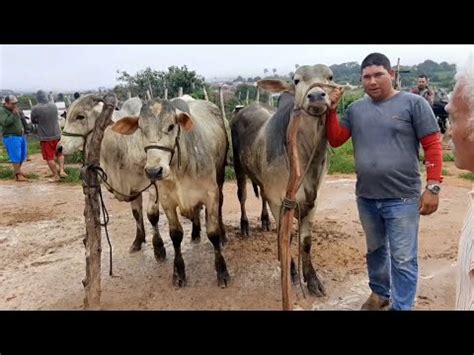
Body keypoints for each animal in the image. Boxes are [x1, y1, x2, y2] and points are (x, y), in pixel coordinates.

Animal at [59, 96, 164, 254]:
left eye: (80, 116)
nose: (59, 147)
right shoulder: (133, 188)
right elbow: (136, 214)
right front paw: (137, 242)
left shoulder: (153, 183)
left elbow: (152, 215)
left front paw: (159, 247)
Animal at [111, 98, 230, 288]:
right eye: (141, 128)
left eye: (171, 125)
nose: (153, 171)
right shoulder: (167, 201)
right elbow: (175, 235)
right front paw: (178, 273)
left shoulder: (211, 195)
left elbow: (213, 233)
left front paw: (222, 272)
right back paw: (195, 233)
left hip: (220, 178)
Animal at [231, 64, 338, 298]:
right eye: (296, 80)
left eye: (330, 77)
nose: (316, 96)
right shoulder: (278, 201)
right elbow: (285, 238)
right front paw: (291, 273)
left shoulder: (312, 202)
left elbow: (305, 242)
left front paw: (313, 280)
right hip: (238, 167)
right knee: (242, 196)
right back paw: (245, 225)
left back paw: (264, 221)